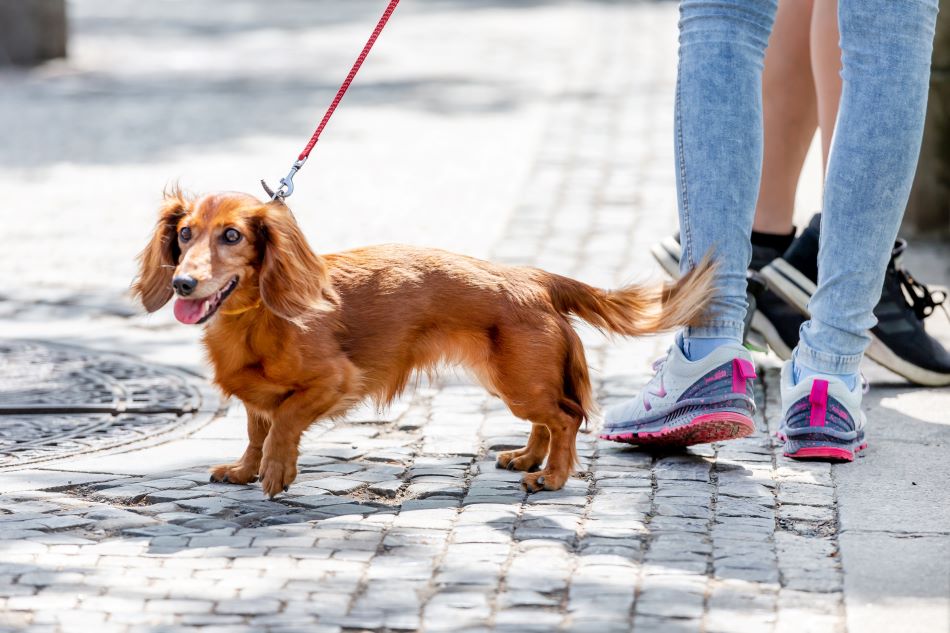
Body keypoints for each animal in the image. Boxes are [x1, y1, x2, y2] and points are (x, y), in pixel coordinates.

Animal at [134, 190, 712, 496]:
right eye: (184, 233)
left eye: (232, 235)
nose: (183, 284)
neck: (257, 316)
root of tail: (535, 278)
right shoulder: (257, 396)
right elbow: (258, 430)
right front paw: (245, 469)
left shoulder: (337, 381)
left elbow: (284, 425)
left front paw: (276, 471)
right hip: (513, 380)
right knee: (547, 420)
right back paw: (528, 459)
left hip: (519, 382)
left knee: (566, 417)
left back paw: (551, 477)